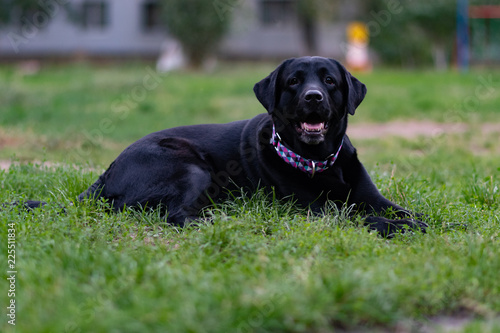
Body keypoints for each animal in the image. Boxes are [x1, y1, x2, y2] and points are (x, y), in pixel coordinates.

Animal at [21, 55, 426, 235]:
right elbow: (355, 215)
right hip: (189, 165)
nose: (313, 97)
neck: (319, 160)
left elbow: (396, 208)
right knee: (174, 215)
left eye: (329, 81)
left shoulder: (373, 196)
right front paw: (401, 228)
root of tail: (105, 174)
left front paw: (418, 220)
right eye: (294, 81)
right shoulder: (312, 211)